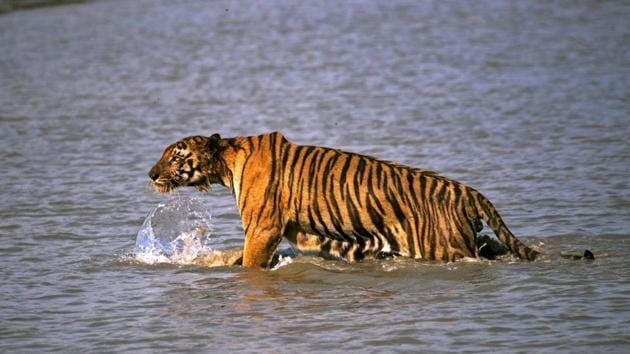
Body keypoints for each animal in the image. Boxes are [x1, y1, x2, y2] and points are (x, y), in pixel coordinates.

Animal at [148, 133, 540, 268]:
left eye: (175, 156)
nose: (150, 174)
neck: (226, 163)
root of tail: (469, 191)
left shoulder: (263, 226)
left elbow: (249, 262)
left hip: (444, 247)